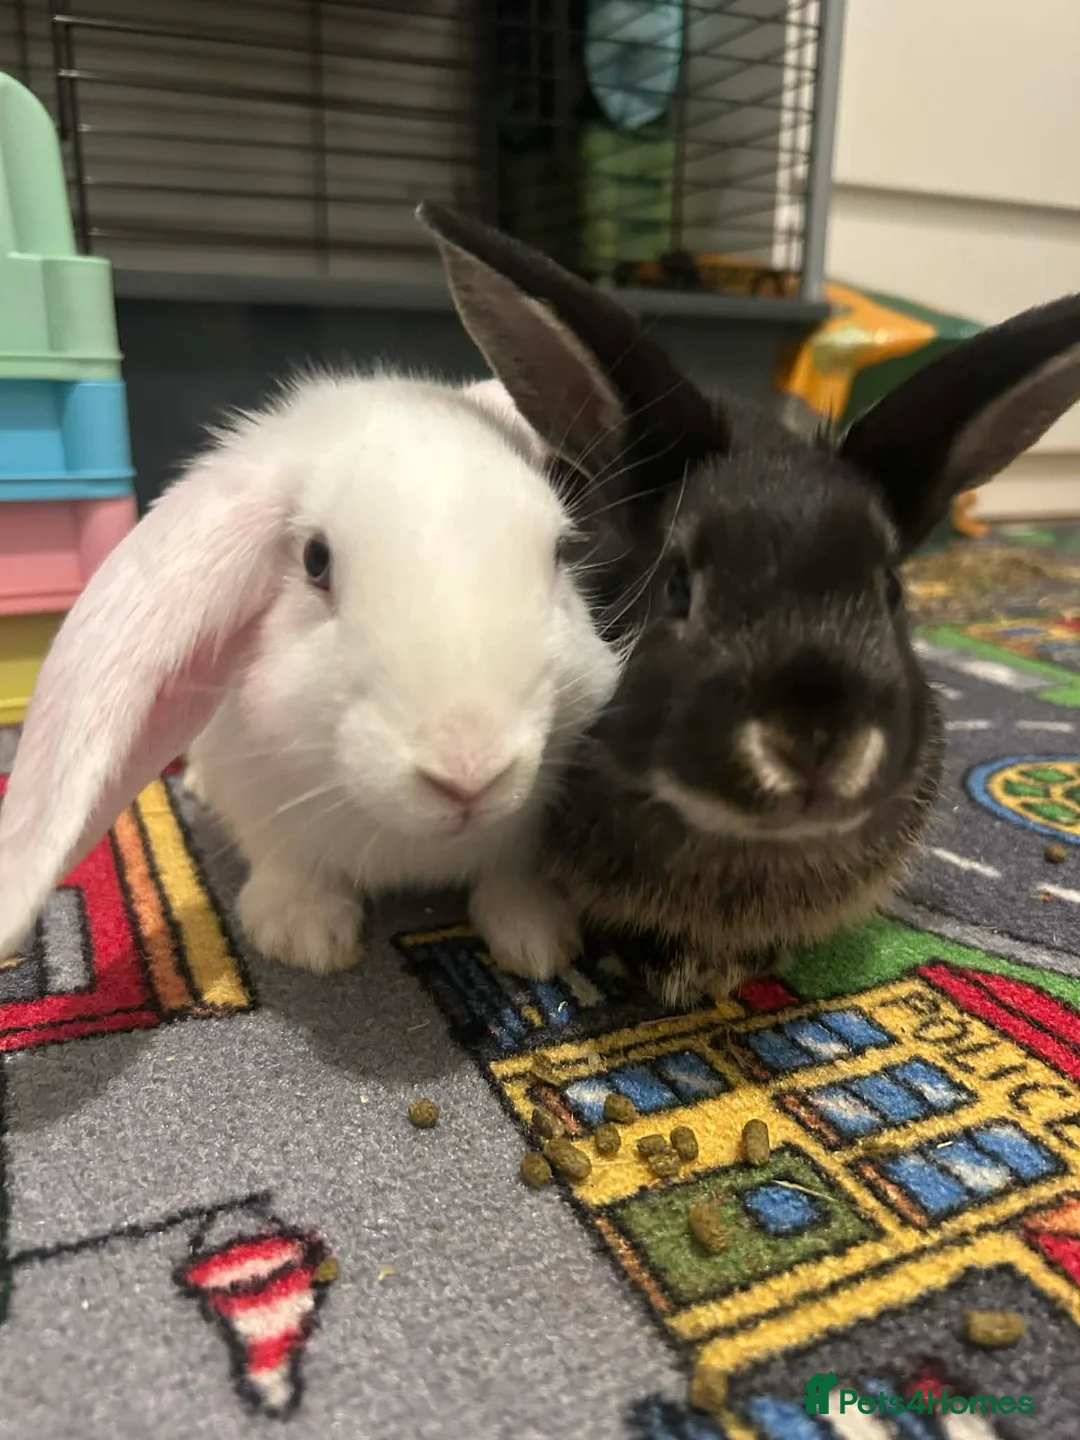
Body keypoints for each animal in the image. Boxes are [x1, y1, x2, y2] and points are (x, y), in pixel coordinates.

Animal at [0, 370, 623, 977]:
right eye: (315, 560)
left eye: (561, 553)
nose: (471, 774)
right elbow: (290, 865)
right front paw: (304, 939)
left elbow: (511, 877)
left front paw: (539, 941)